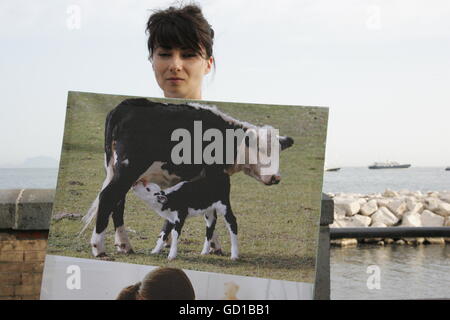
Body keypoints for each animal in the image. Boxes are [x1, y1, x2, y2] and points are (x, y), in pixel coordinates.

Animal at [81, 97, 294, 258]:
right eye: (260, 149)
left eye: (279, 152)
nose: (275, 177)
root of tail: (124, 106)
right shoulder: (212, 175)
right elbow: (210, 215)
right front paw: (213, 246)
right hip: (128, 169)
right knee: (108, 197)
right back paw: (99, 247)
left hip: (118, 170)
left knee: (117, 203)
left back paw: (124, 244)